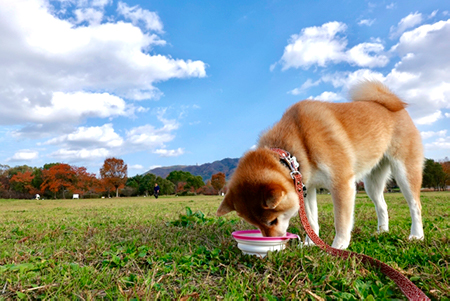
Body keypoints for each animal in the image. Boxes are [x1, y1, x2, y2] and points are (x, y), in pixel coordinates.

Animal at [216, 80, 424, 248]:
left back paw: (416, 235)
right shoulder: (306, 187)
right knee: (382, 205)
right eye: (256, 225)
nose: (271, 241)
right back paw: (382, 232)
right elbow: (311, 221)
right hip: (372, 182)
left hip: (404, 171)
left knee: (415, 205)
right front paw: (310, 243)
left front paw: (338, 246)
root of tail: (395, 105)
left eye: (272, 221)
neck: (293, 152)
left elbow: (341, 221)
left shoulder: (342, 183)